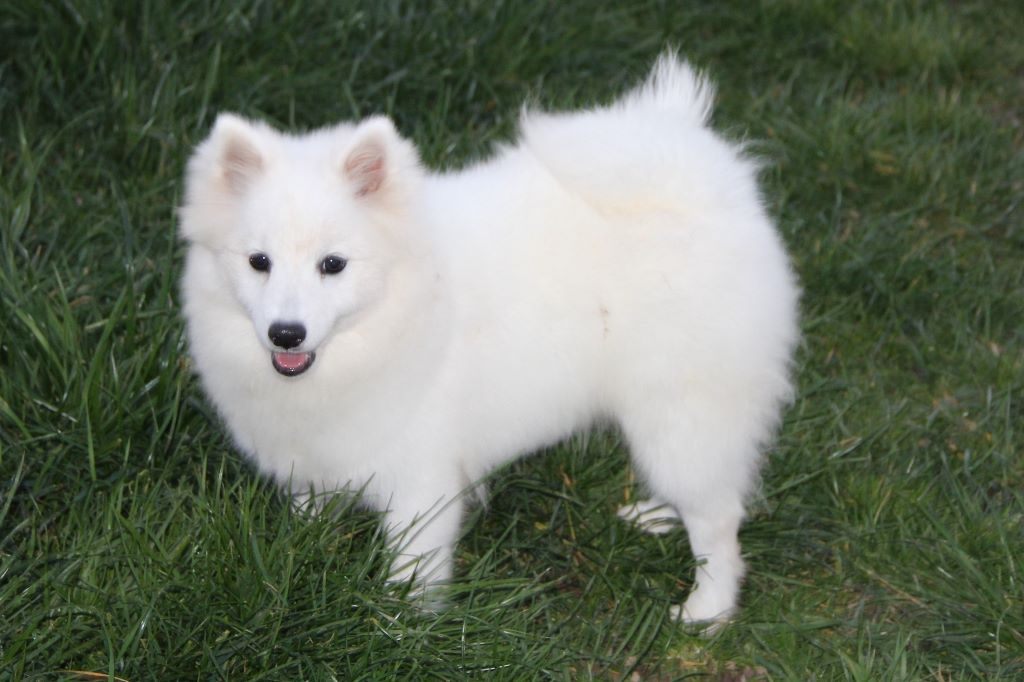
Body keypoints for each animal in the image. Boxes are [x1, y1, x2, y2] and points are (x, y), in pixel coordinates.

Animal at [179, 53, 799, 626]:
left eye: (333, 265)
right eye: (259, 262)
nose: (286, 333)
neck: (398, 314)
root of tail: (705, 180)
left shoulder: (421, 479)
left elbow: (411, 570)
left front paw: (402, 629)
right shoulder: (316, 460)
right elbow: (310, 519)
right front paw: (300, 558)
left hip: (681, 408)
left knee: (719, 518)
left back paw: (707, 610)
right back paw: (656, 513)